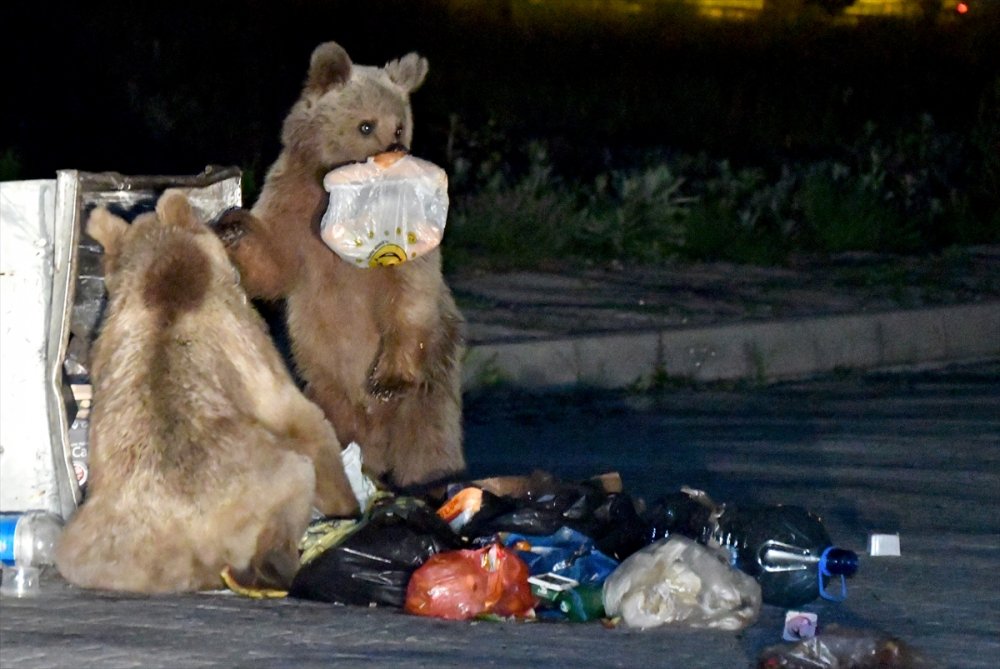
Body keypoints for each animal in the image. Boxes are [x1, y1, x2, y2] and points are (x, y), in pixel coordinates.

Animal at [54, 190, 358, 592]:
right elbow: (304, 418)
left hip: (92, 547)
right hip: (270, 479)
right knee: (295, 476)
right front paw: (347, 504)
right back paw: (281, 560)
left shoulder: (107, 338)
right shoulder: (250, 349)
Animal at [215, 43, 464, 490]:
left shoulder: (405, 232)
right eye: (366, 125)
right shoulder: (292, 204)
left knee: (427, 434)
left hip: (435, 373)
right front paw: (231, 226)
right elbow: (273, 264)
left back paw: (431, 478)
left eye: (399, 127)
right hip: (325, 393)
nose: (397, 153)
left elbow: (408, 292)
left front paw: (386, 380)